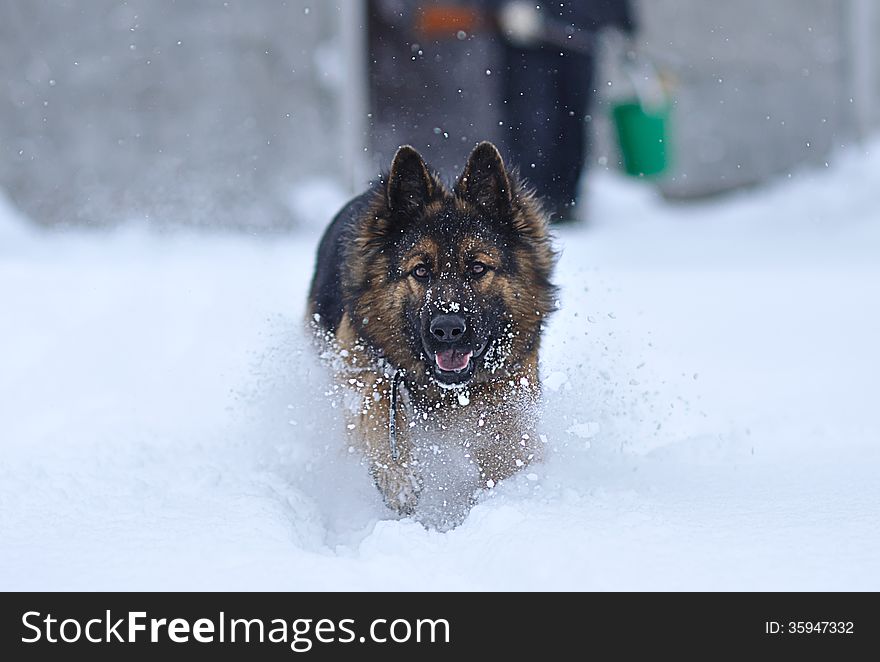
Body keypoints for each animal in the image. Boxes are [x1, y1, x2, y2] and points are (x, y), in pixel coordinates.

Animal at [310, 143, 556, 516]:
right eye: (421, 271)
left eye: (477, 268)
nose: (448, 329)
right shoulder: (360, 367)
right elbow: (378, 398)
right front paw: (399, 476)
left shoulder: (509, 390)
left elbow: (504, 438)